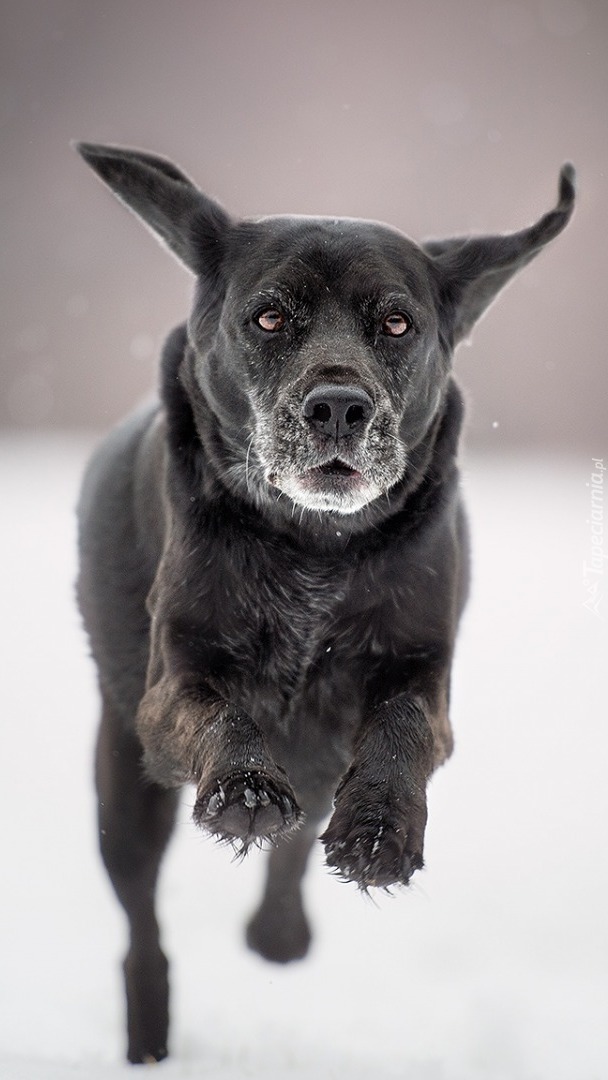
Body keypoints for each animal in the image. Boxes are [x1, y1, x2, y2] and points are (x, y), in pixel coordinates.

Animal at [76, 141, 574, 1062]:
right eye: (270, 319)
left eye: (397, 324)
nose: (338, 406)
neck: (315, 545)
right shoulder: (173, 687)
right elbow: (222, 716)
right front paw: (244, 789)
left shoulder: (421, 670)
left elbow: (400, 730)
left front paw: (379, 833)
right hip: (123, 778)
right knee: (142, 926)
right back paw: (149, 1037)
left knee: (299, 832)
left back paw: (280, 932)